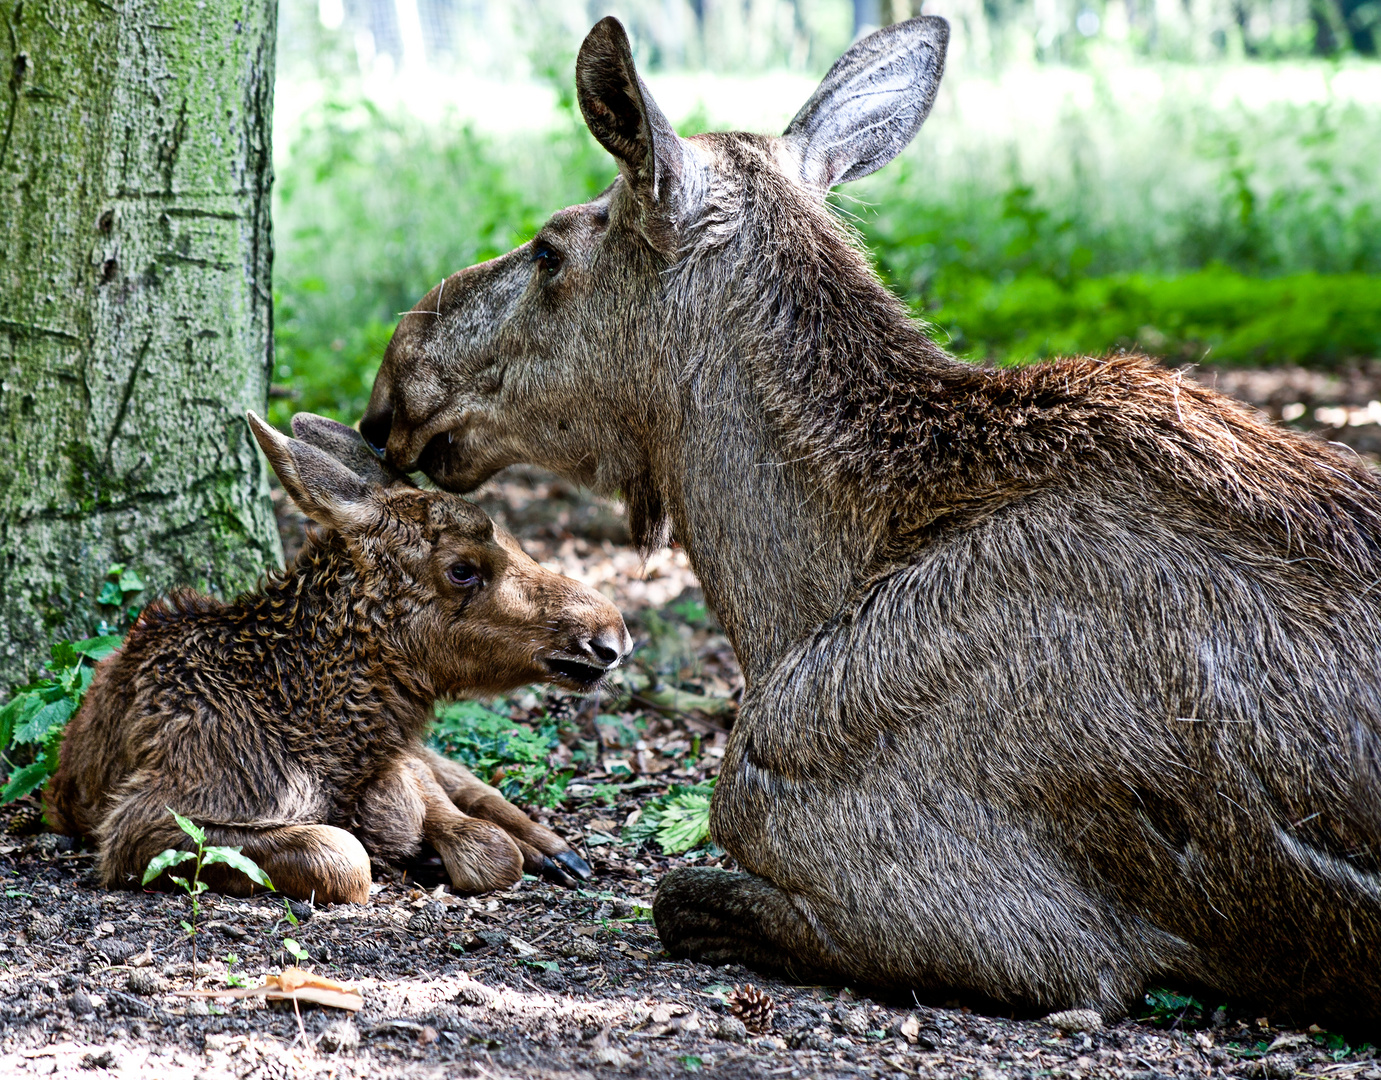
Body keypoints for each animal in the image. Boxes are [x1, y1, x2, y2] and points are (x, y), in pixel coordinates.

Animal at [41, 414, 626, 905]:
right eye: (462, 569)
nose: (611, 637)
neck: (332, 742)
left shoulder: (403, 770)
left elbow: (486, 845)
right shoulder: (142, 824)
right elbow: (345, 855)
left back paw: (557, 850)